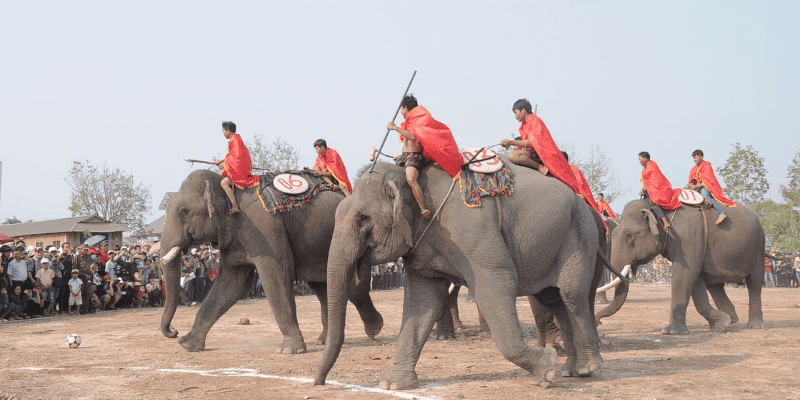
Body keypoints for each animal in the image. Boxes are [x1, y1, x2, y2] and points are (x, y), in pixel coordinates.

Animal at [159, 170, 384, 352]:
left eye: (183, 212)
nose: (173, 331)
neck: (230, 190)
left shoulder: (264, 227)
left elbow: (275, 276)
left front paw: (290, 350)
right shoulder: (235, 238)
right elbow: (232, 285)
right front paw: (187, 345)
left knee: (352, 286)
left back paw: (374, 329)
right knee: (323, 286)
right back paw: (326, 340)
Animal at [316, 161, 604, 390]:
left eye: (363, 218)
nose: (319, 381)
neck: (410, 180)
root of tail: (583, 203)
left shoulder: (471, 231)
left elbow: (498, 280)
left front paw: (547, 368)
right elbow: (422, 303)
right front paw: (393, 384)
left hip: (580, 236)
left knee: (572, 296)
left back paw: (586, 368)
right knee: (553, 299)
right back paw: (570, 369)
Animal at [596, 199, 764, 334]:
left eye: (629, 235)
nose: (599, 322)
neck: (658, 209)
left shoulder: (688, 238)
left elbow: (684, 275)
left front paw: (671, 332)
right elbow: (695, 281)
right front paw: (722, 323)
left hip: (758, 245)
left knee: (754, 282)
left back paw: (755, 325)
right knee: (715, 286)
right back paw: (731, 319)